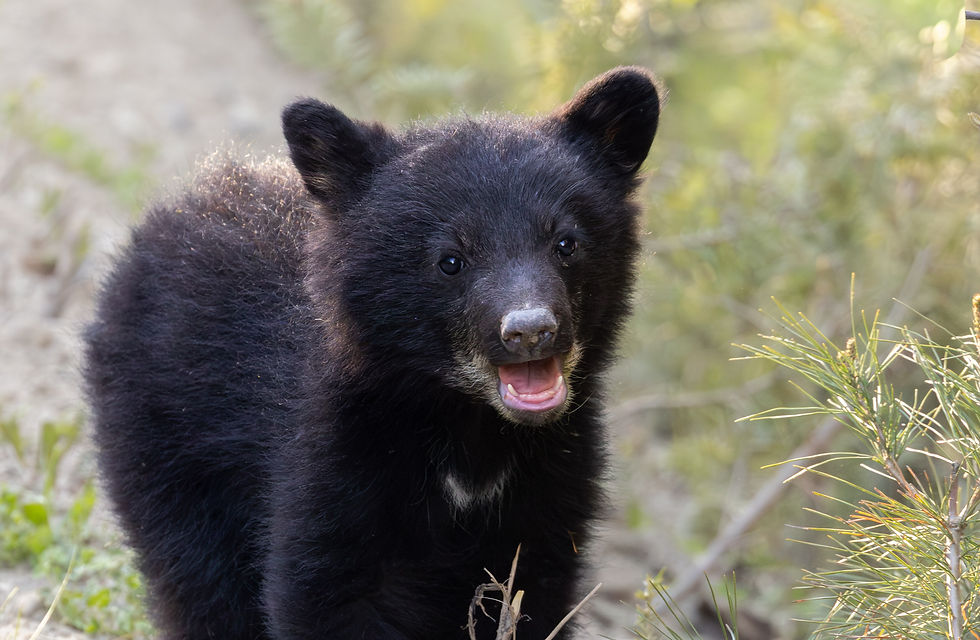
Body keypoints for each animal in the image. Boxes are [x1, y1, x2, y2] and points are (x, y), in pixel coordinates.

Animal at [84, 66, 660, 640]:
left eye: (566, 243)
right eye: (450, 260)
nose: (530, 329)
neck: (470, 430)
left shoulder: (553, 478)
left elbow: (534, 593)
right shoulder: (335, 451)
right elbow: (323, 588)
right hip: (166, 430)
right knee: (199, 578)